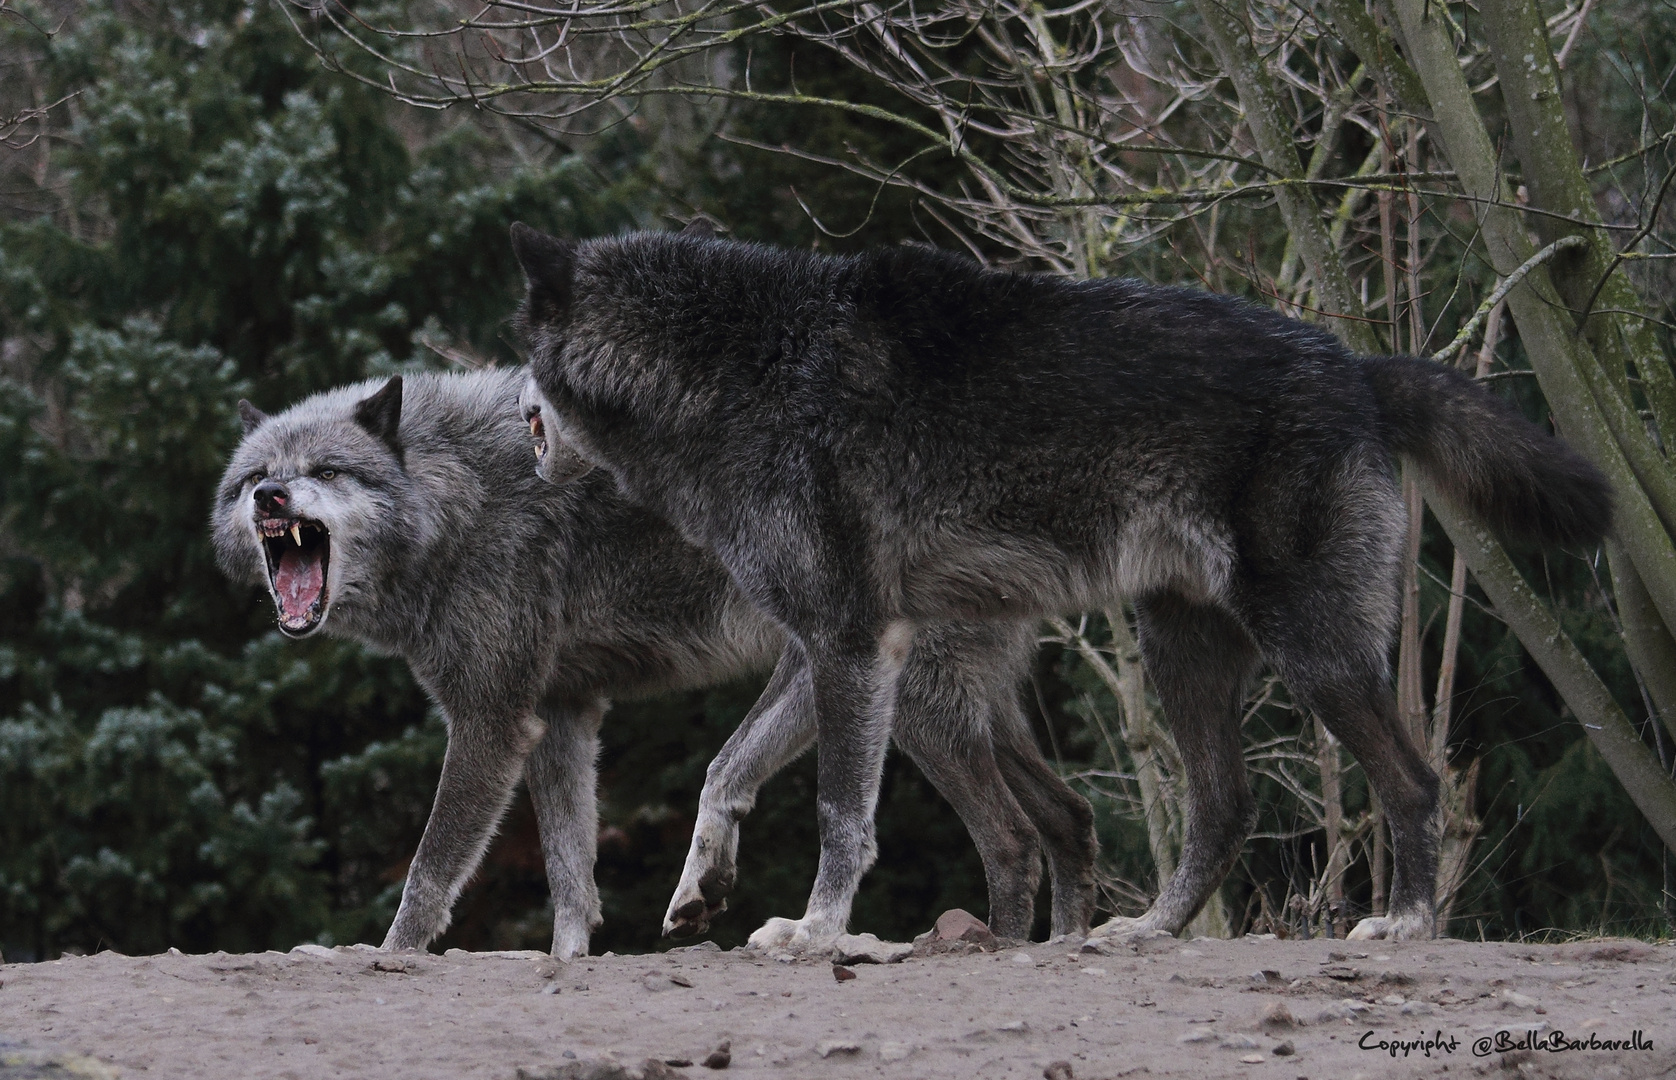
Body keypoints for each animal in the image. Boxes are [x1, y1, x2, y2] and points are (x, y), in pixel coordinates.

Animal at [212, 368, 1099, 952]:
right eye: (255, 476)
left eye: (327, 471)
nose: (271, 499)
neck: (455, 496)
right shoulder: (562, 716)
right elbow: (572, 881)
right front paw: (569, 964)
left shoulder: (494, 721)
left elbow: (427, 872)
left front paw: (391, 957)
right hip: (946, 710)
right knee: (1068, 817)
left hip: (913, 707)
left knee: (1012, 840)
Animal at [512, 223, 1608, 952]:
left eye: (520, 356)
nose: (513, 419)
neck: (747, 369)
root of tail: (1358, 369)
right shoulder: (825, 647)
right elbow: (725, 769)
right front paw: (703, 887)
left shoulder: (853, 645)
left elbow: (838, 814)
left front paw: (819, 931)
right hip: (1175, 659)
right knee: (1222, 806)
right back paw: (1150, 929)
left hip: (1313, 656)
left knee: (1412, 783)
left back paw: (1407, 922)